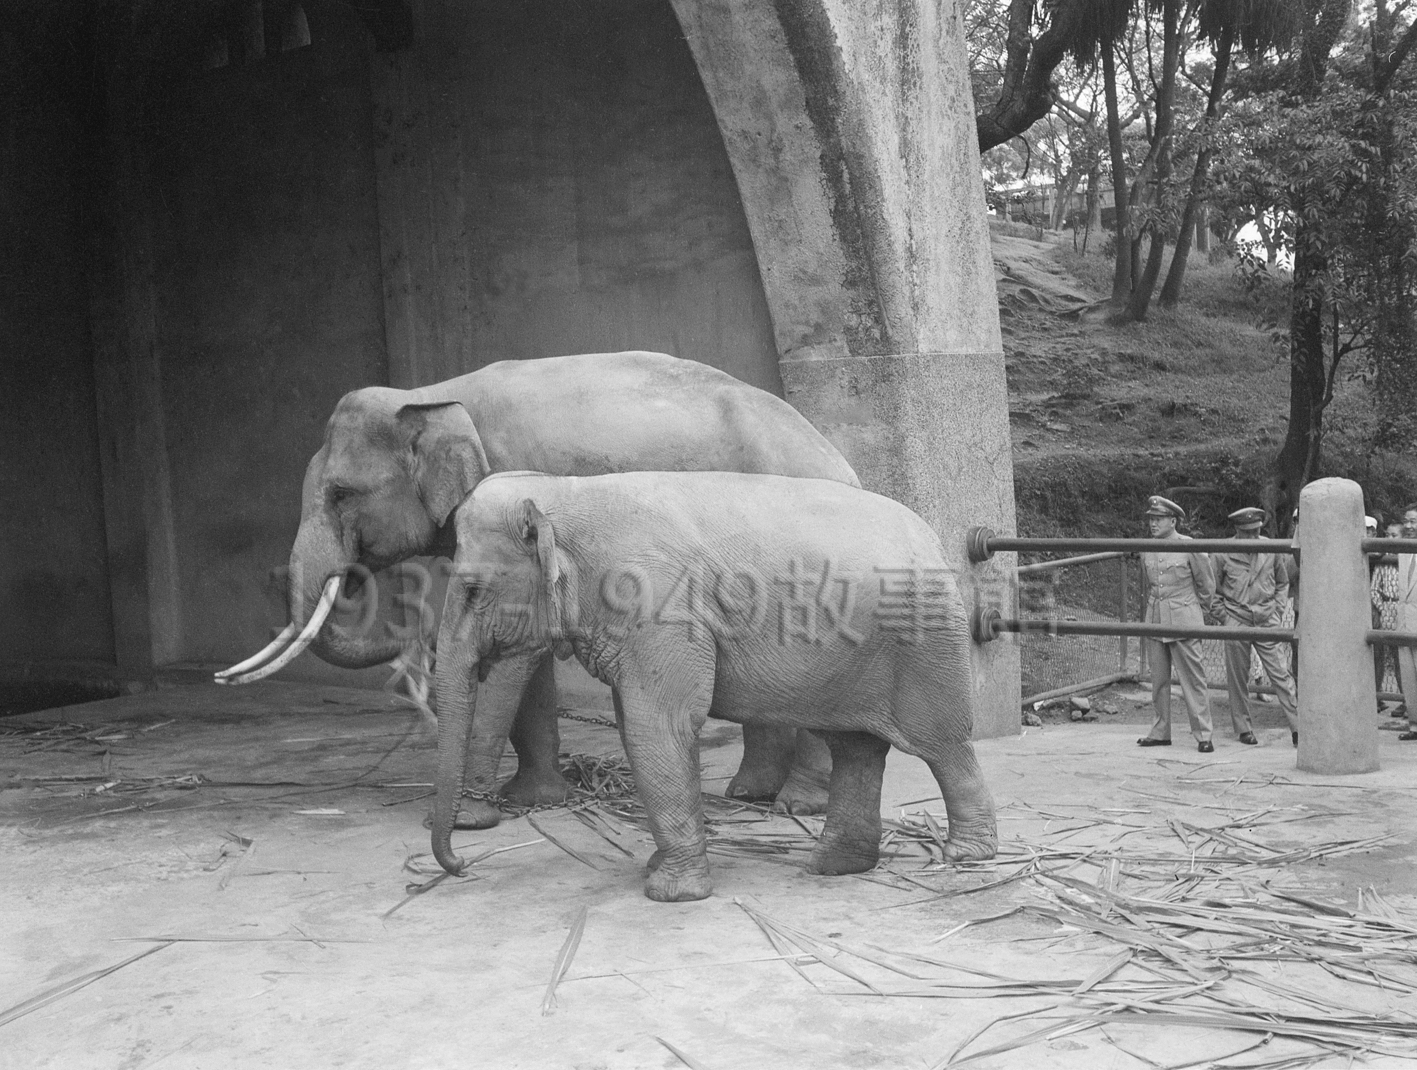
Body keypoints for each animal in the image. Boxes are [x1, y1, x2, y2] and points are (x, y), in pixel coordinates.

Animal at [215, 351, 855, 827]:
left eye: (342, 493)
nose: (411, 650)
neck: (430, 393)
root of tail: (840, 459)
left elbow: (517, 657)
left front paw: (472, 817)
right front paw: (534, 800)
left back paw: (798, 805)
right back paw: (750, 797)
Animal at [430, 473, 997, 901]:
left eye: (473, 589)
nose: (462, 865)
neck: (561, 492)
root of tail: (933, 536)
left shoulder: (659, 606)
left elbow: (659, 725)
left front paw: (668, 892)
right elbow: (639, 725)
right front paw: (657, 868)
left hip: (924, 646)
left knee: (941, 744)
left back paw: (966, 855)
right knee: (856, 749)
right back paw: (832, 866)